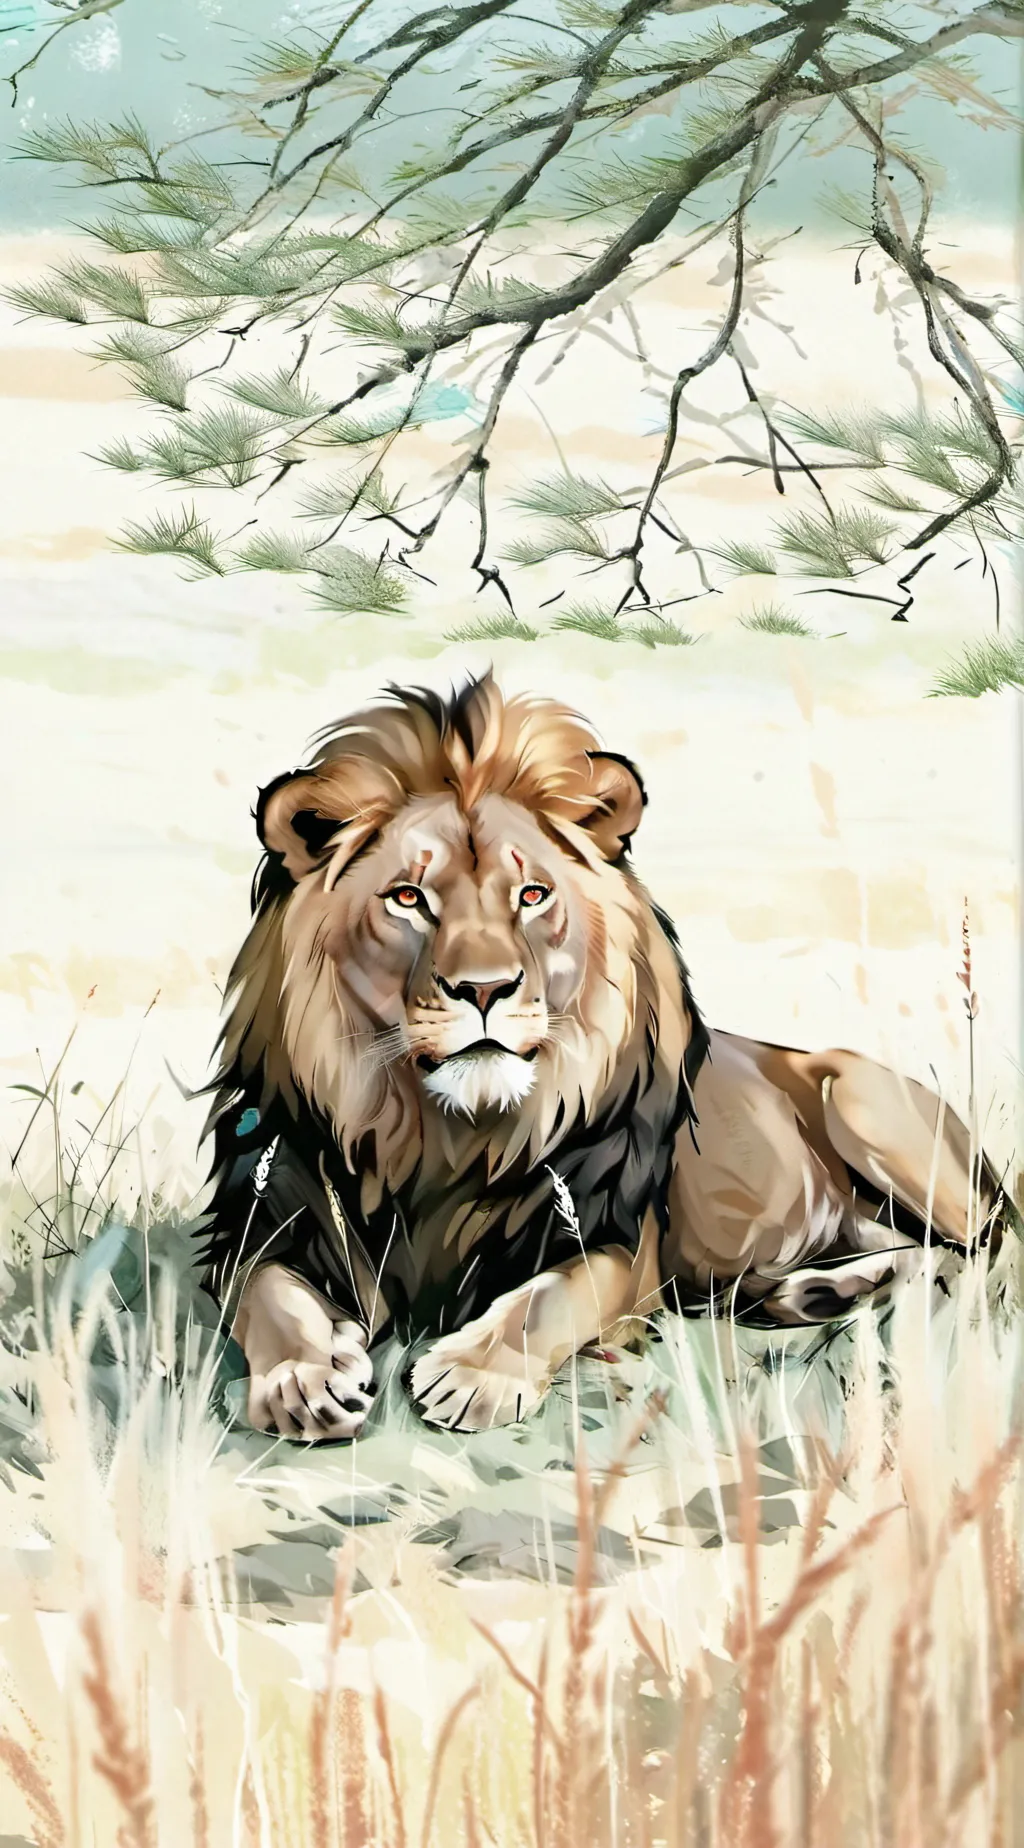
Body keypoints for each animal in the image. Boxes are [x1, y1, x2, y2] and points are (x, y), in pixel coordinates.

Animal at [197, 671, 1006, 1441]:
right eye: (407, 898)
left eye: (531, 895)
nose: (484, 988)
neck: (446, 1141)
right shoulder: (265, 1223)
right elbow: (266, 1297)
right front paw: (303, 1380)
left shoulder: (616, 1245)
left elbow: (547, 1300)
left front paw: (473, 1377)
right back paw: (810, 1289)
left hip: (863, 1105)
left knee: (980, 1250)